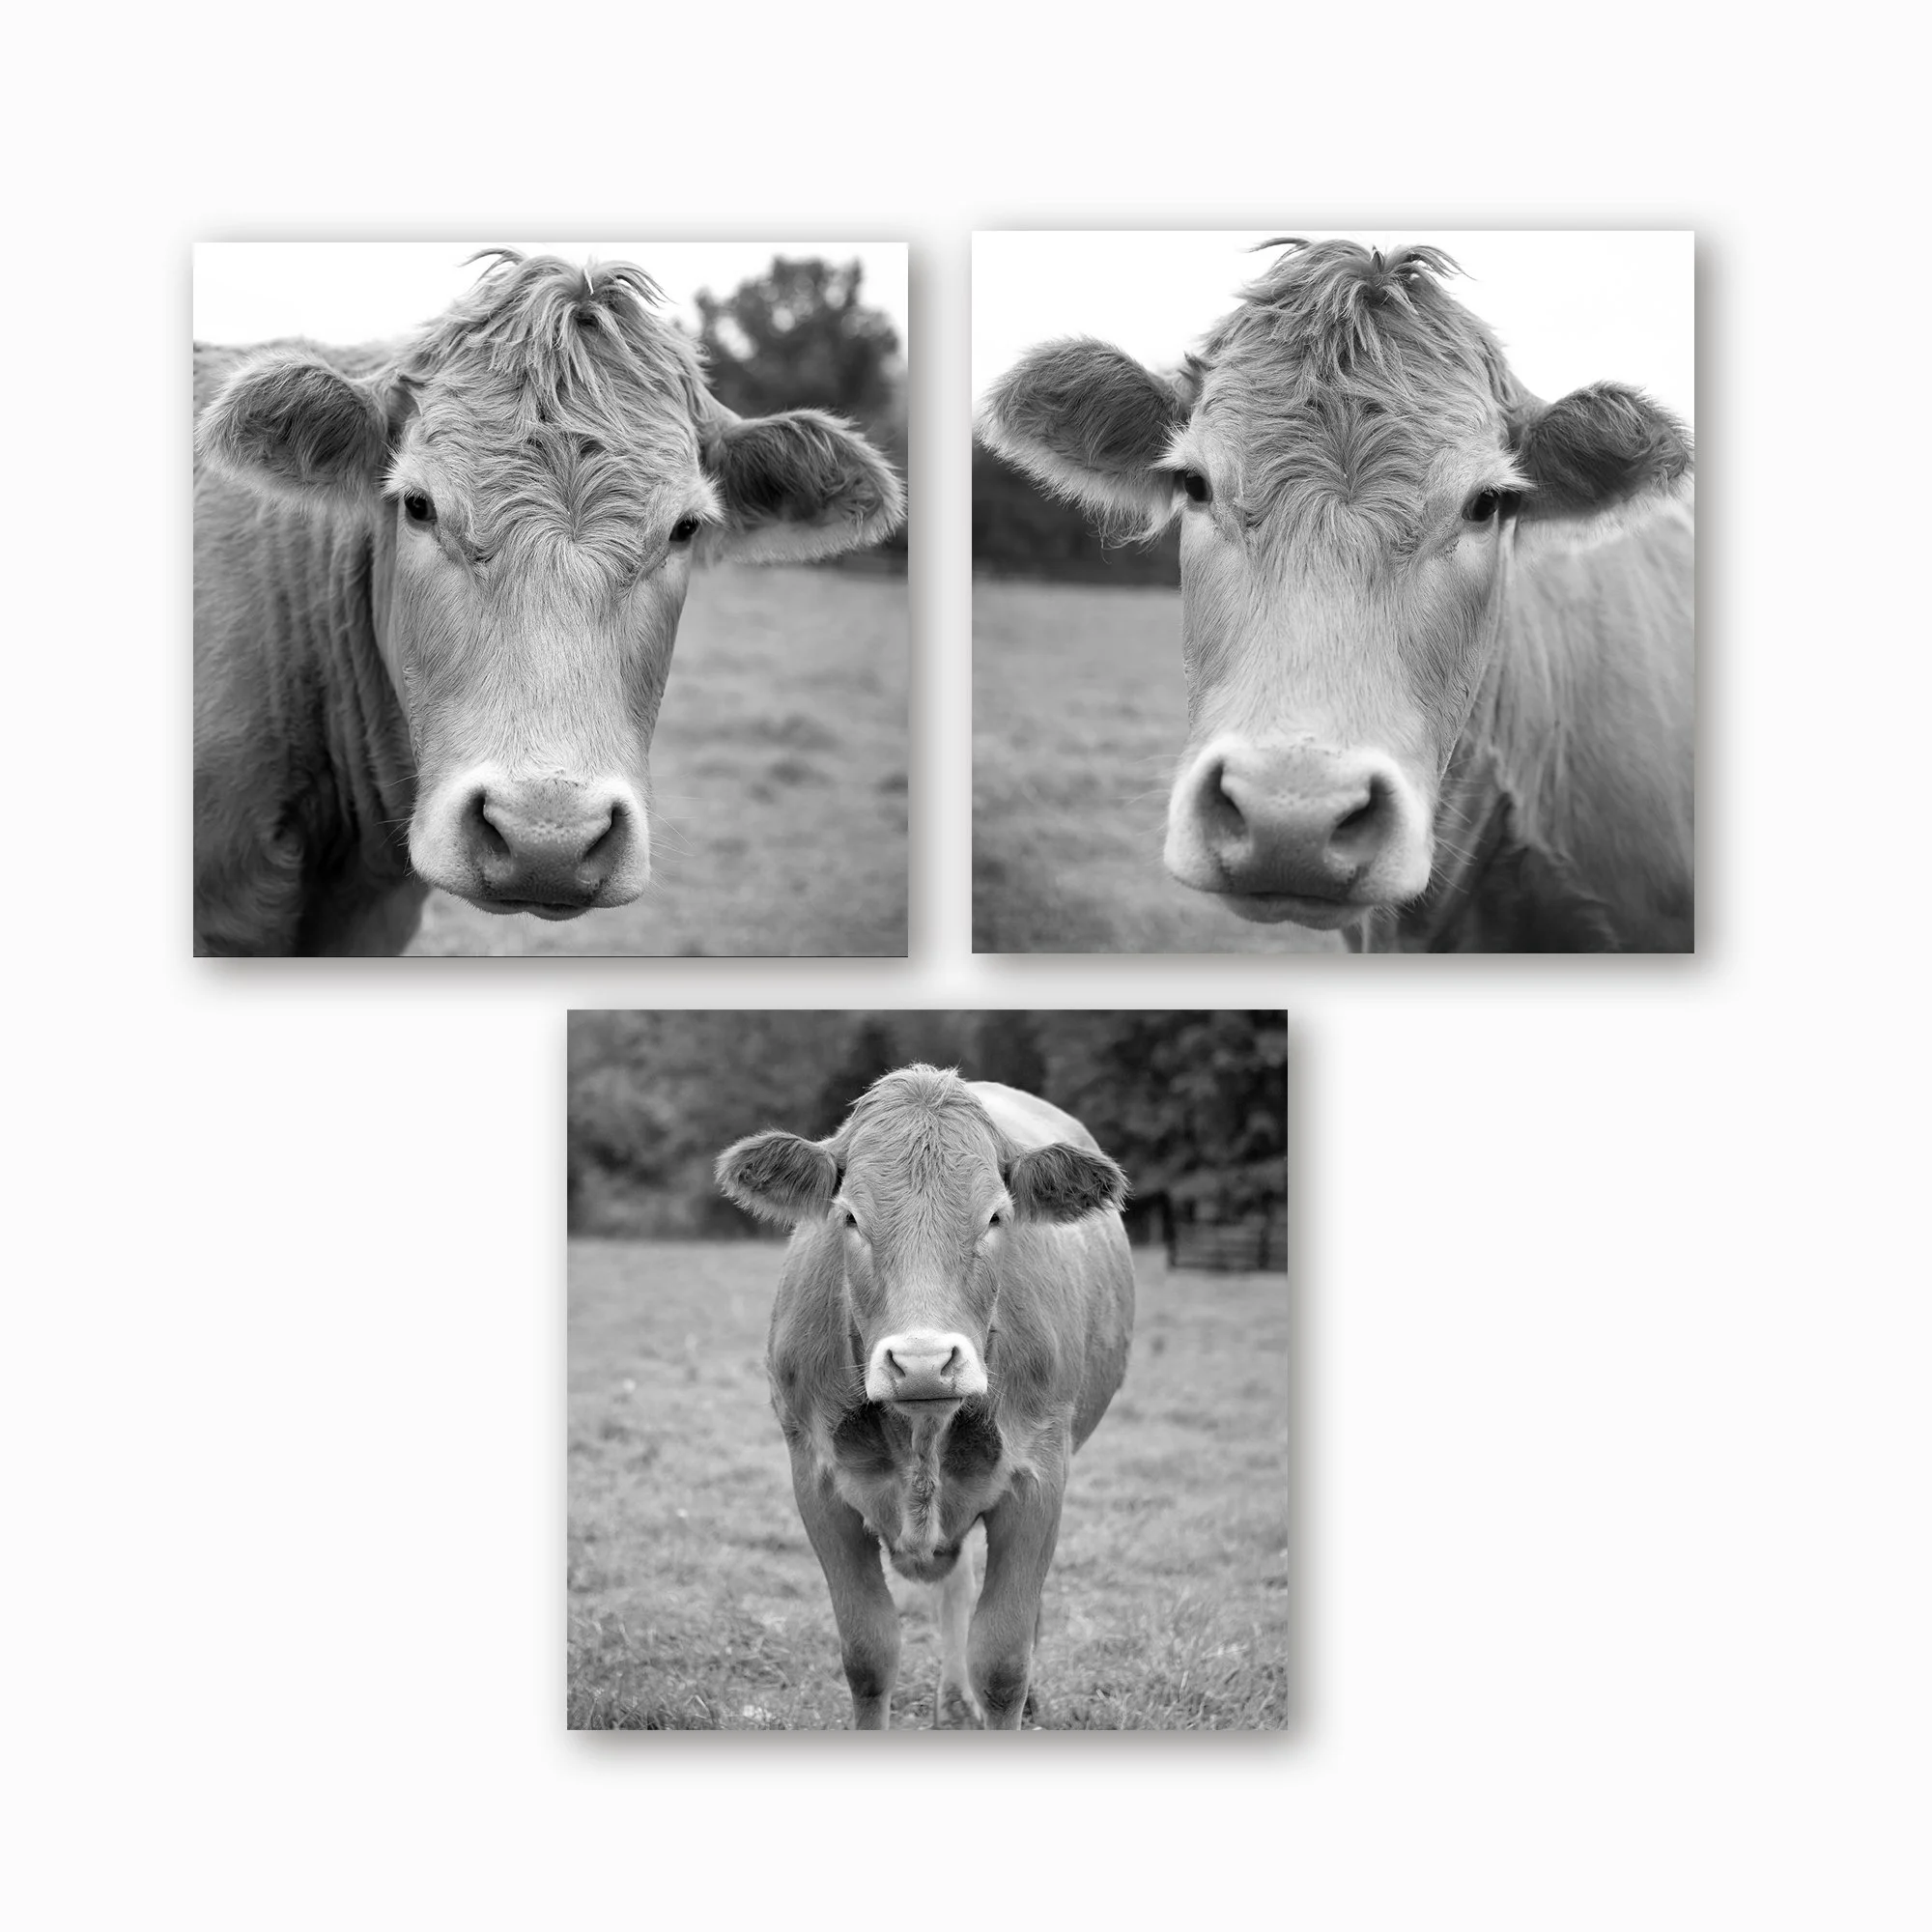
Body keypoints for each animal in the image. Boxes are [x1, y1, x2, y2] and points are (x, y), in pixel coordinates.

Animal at [715, 1065, 1134, 1730]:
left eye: (995, 1217)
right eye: (850, 1218)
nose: (923, 1364)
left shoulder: (1040, 1477)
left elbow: (1004, 1664)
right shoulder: (816, 1481)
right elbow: (868, 1655)